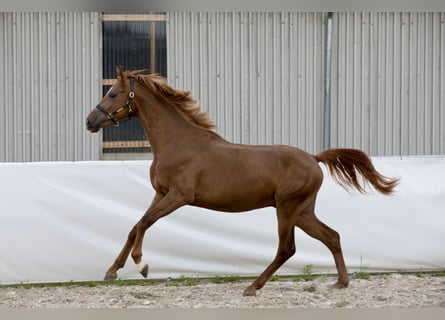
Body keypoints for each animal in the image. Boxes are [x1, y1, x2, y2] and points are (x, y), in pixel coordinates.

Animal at [85, 66, 398, 296]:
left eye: (113, 93)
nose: (89, 121)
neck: (177, 143)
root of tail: (314, 158)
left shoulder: (178, 196)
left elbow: (144, 224)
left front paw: (142, 265)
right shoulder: (160, 194)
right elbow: (134, 227)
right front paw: (112, 271)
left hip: (287, 209)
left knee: (287, 248)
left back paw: (252, 287)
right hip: (302, 211)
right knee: (332, 236)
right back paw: (340, 282)